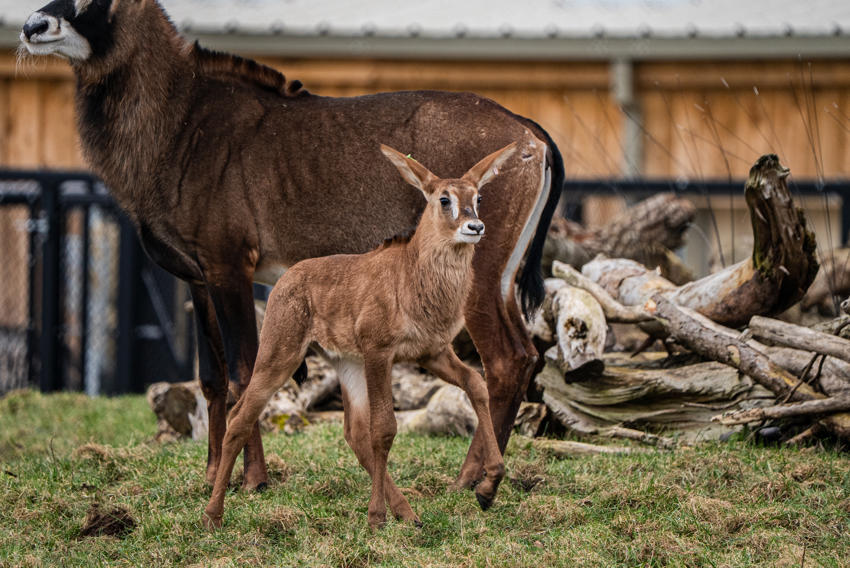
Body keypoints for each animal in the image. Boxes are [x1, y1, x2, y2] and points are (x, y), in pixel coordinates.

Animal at [204, 143, 516, 529]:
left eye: (478, 196)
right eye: (444, 199)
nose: (475, 226)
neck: (412, 275)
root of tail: (286, 279)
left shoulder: (432, 353)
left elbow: (476, 383)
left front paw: (488, 487)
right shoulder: (379, 351)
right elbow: (384, 428)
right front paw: (375, 516)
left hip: (347, 363)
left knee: (353, 432)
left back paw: (408, 513)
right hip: (280, 355)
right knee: (240, 417)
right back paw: (212, 515)